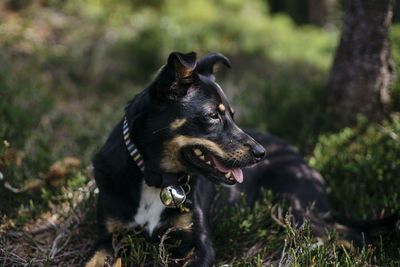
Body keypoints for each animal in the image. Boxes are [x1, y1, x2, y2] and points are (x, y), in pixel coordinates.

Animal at [86, 51, 370, 266]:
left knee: (350, 234)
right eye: (213, 115)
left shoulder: (199, 246)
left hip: (292, 209)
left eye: (232, 115)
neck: (156, 179)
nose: (261, 153)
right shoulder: (106, 239)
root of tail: (304, 163)